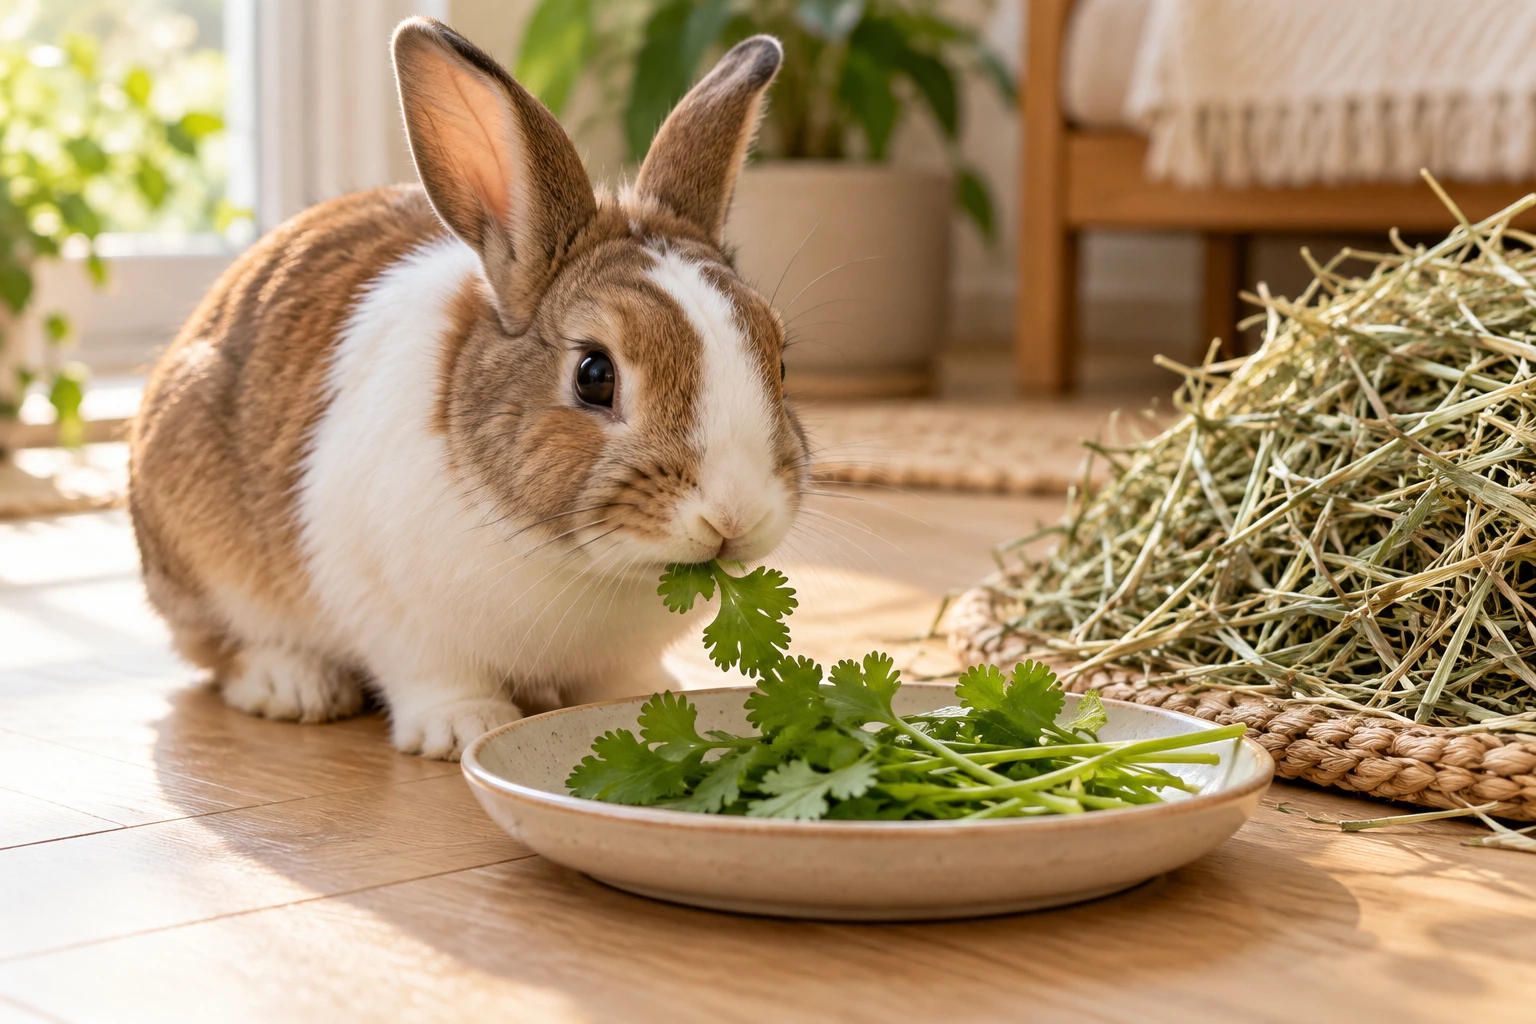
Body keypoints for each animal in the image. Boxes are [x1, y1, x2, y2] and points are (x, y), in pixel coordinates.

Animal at [128, 17, 808, 760]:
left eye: (778, 360)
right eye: (594, 375)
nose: (735, 515)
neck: (582, 566)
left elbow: (621, 678)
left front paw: (651, 697)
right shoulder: (392, 611)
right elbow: (433, 675)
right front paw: (464, 730)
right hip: (200, 553)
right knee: (218, 650)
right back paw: (293, 685)